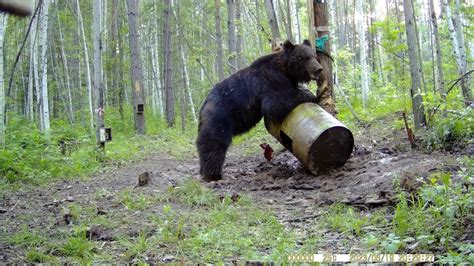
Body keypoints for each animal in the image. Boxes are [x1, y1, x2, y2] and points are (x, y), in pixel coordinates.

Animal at [196, 40, 322, 181]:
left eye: (315, 56)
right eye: (304, 58)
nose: (319, 69)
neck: (287, 72)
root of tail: (204, 104)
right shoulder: (271, 82)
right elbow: (274, 104)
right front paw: (310, 94)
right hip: (220, 117)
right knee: (214, 142)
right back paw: (213, 174)